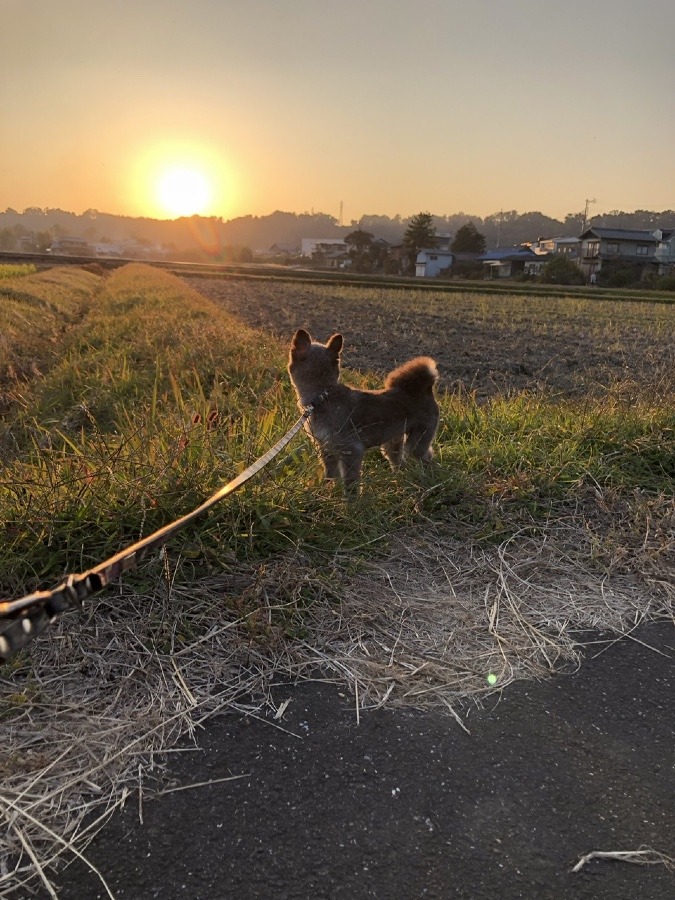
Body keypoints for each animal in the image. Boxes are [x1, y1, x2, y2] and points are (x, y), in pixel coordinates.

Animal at [288, 328, 440, 488]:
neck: (323, 397)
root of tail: (426, 389)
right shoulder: (326, 449)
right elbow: (330, 475)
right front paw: (327, 490)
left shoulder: (352, 450)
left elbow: (350, 483)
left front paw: (349, 495)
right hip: (392, 442)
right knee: (399, 460)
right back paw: (399, 478)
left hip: (417, 440)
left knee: (425, 456)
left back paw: (427, 478)